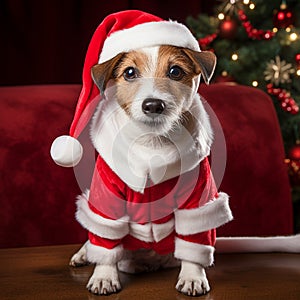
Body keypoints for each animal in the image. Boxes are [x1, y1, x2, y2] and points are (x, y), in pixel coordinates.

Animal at [69, 44, 233, 296]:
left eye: (175, 71)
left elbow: (194, 239)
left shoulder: (197, 197)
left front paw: (192, 276)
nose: (153, 104)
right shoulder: (107, 197)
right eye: (129, 73)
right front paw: (104, 276)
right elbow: (105, 241)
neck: (152, 144)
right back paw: (84, 254)